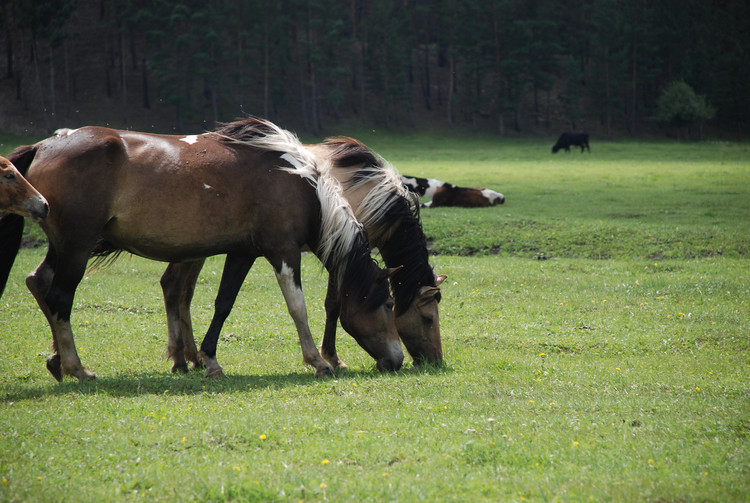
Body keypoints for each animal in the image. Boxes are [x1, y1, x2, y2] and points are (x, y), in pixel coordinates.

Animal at [158, 136, 444, 372]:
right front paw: (331, 357)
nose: (436, 361)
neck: (365, 193)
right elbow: (333, 305)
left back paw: (190, 357)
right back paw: (185, 357)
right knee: (176, 288)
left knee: (180, 290)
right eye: (428, 318)